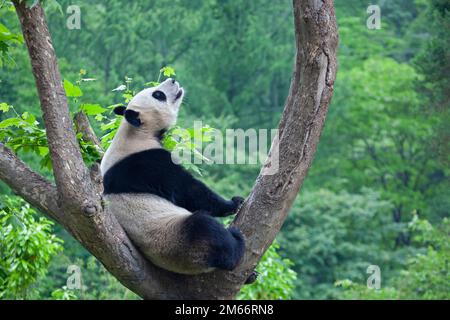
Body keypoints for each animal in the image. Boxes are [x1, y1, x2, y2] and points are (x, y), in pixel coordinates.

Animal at [100, 79, 246, 276]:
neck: (136, 133)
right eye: (158, 95)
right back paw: (237, 243)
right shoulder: (147, 163)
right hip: (178, 243)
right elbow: (188, 190)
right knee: (206, 229)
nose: (173, 80)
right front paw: (233, 203)